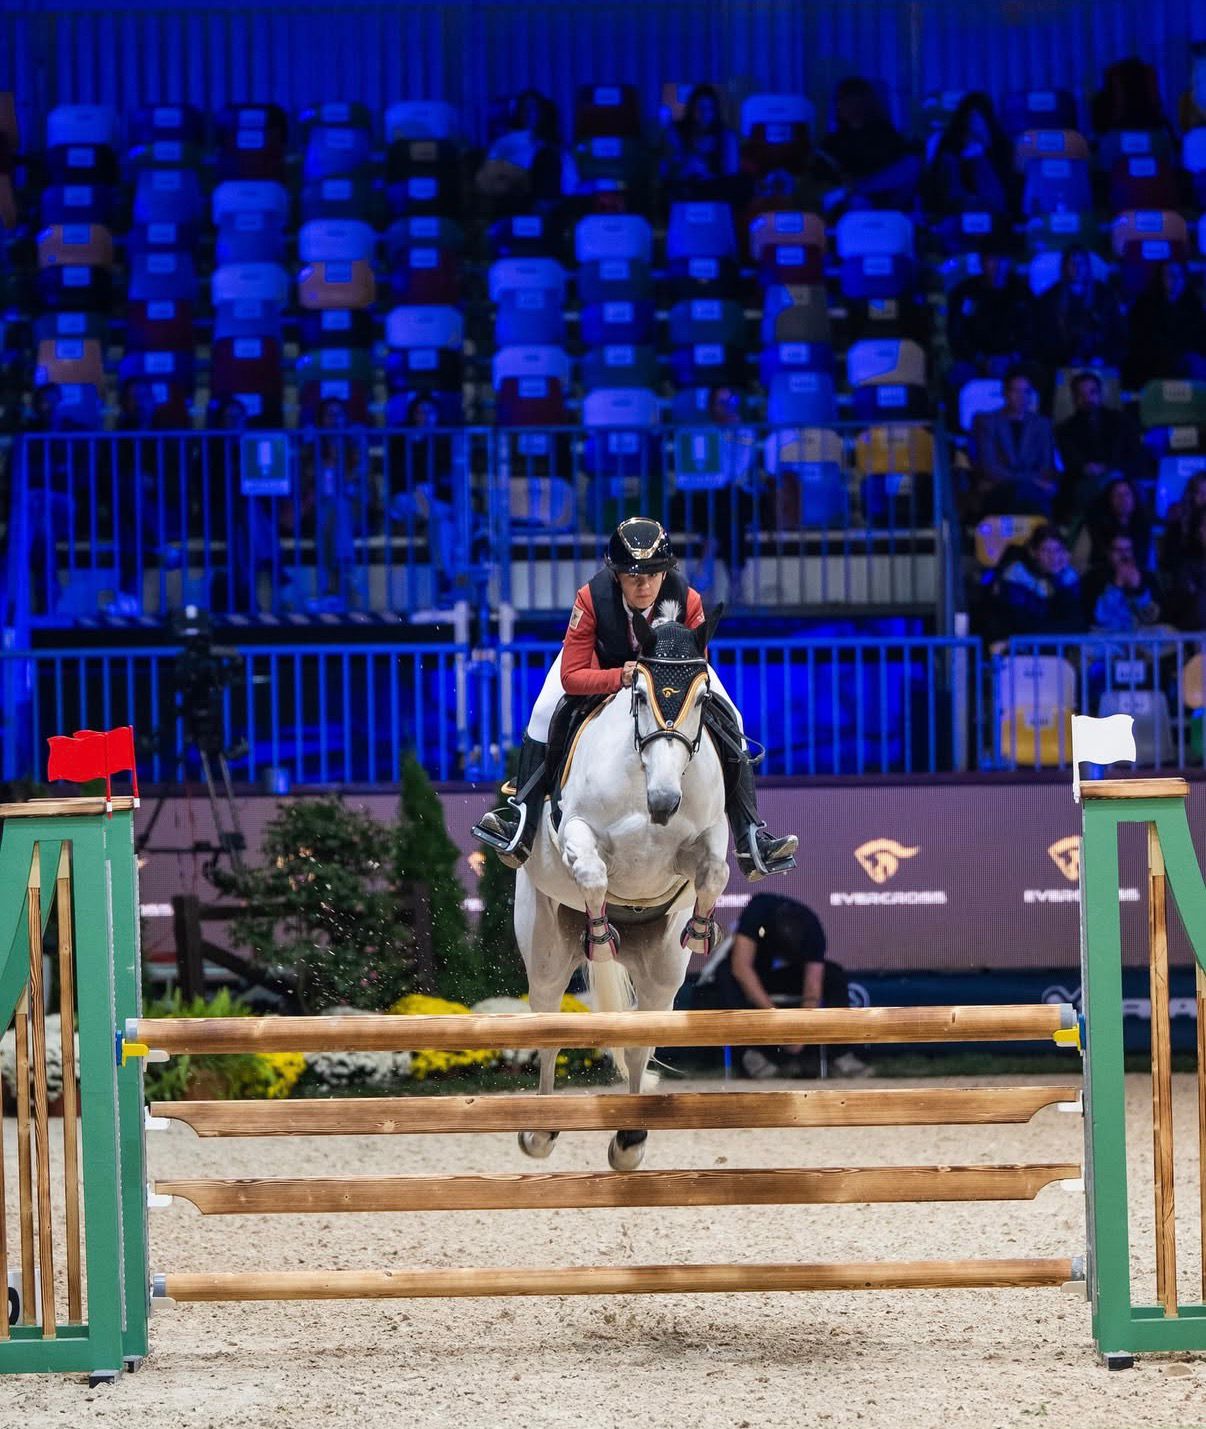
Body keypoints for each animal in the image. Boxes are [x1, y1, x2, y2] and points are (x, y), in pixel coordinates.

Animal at [514, 605, 730, 1171]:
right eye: (638, 694)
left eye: (703, 699)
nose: (664, 803)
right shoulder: (578, 831)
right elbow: (594, 874)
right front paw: (600, 933)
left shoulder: (707, 835)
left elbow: (715, 871)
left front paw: (702, 928)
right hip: (545, 950)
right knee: (548, 1025)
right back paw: (540, 1129)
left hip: (662, 973)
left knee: (638, 1041)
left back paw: (630, 1139)